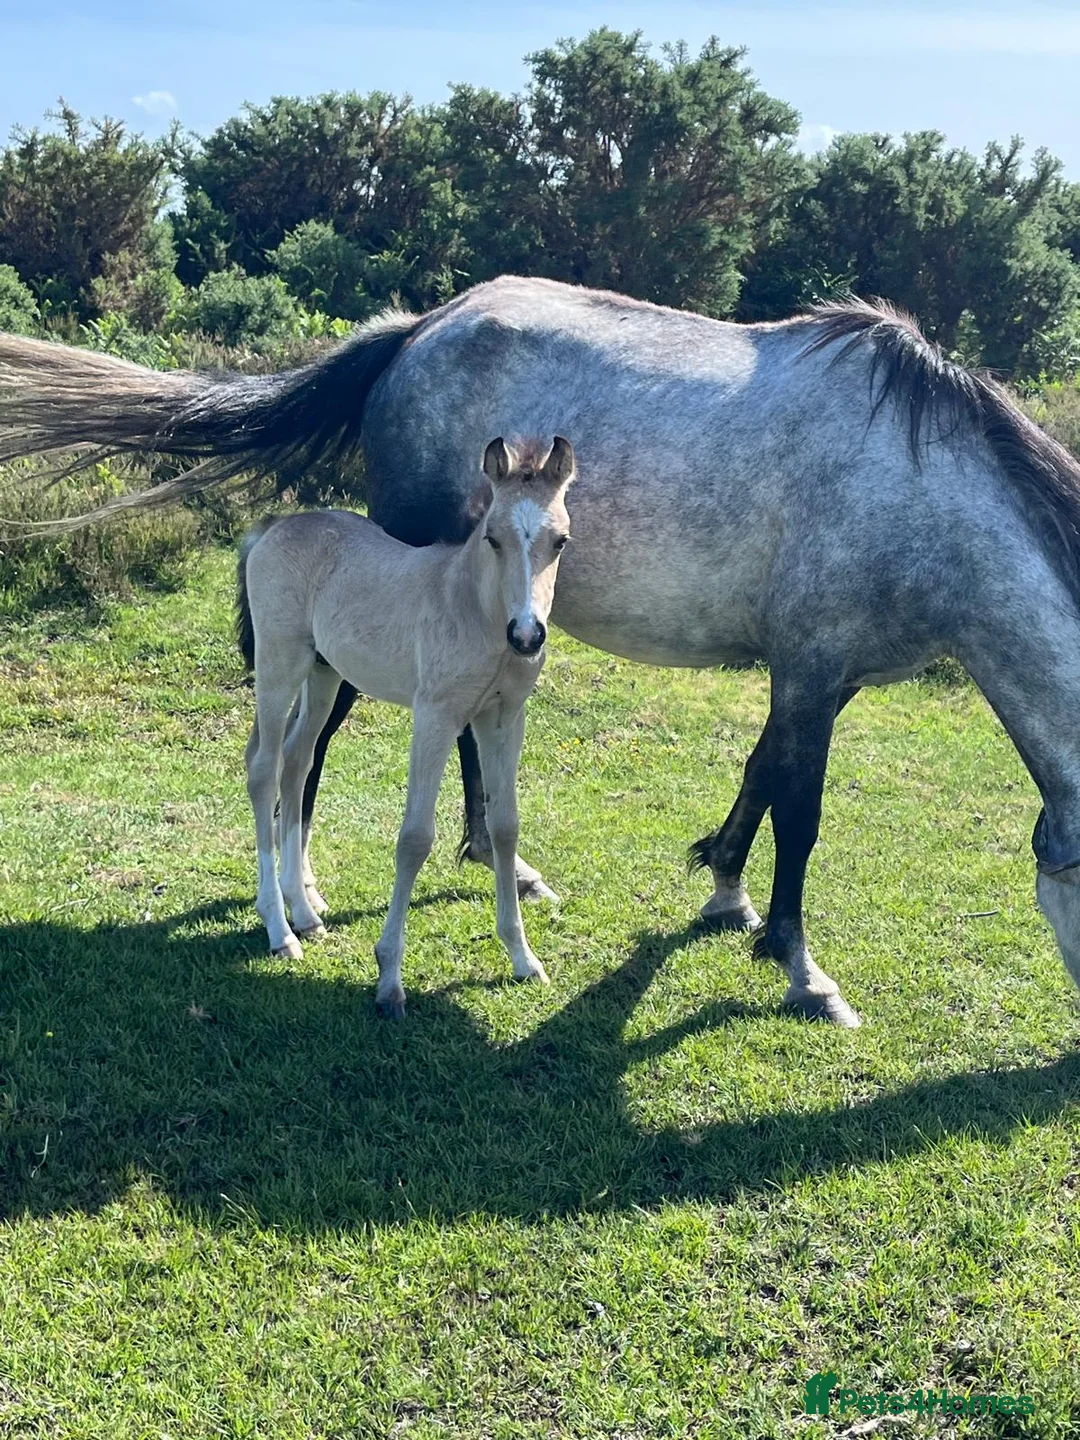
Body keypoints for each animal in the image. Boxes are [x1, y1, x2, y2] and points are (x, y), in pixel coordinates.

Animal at [235, 435, 574, 1017]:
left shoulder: (503, 717)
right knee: (263, 766)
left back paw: (305, 913)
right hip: (280, 662)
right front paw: (389, 980)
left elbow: (505, 826)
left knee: (297, 762)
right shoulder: (435, 717)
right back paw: (280, 931)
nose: (527, 635)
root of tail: (271, 529)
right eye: (492, 537)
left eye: (560, 541)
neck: (474, 608)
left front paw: (524, 959)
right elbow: (415, 838)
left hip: (325, 673)